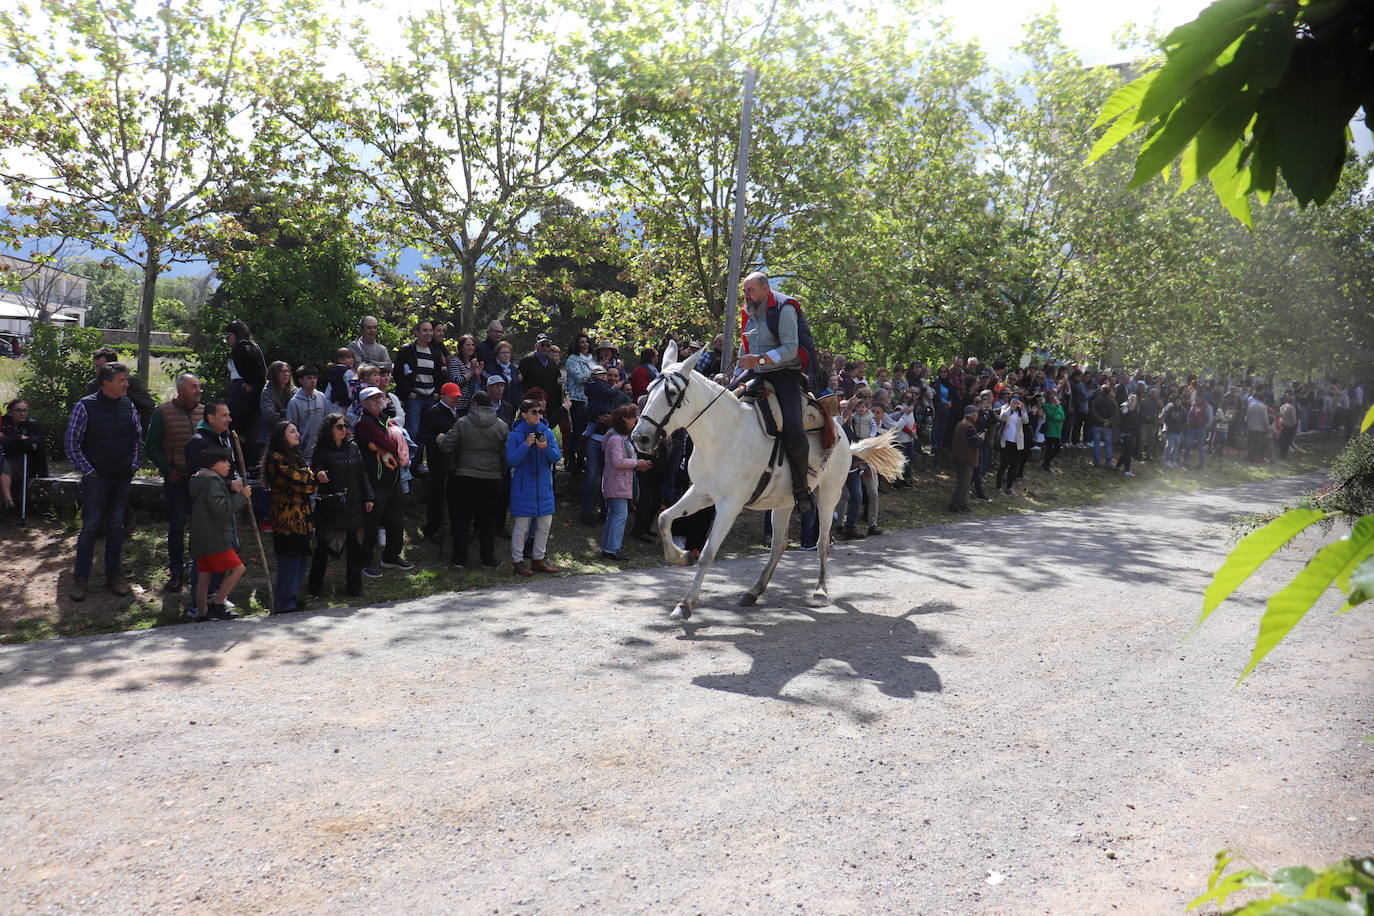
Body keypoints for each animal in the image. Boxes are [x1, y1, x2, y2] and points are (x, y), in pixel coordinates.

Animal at [629, 343, 906, 623]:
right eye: (649, 389)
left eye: (672, 393)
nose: (640, 438)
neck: (724, 434)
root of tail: (844, 437)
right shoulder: (701, 492)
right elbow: (664, 518)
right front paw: (681, 557)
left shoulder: (729, 504)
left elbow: (708, 553)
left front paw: (685, 604)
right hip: (784, 502)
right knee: (778, 545)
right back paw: (754, 591)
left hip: (828, 495)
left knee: (822, 542)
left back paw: (819, 591)